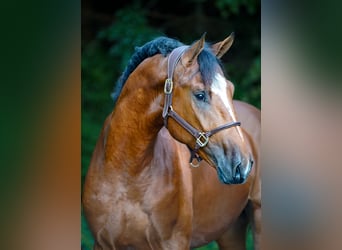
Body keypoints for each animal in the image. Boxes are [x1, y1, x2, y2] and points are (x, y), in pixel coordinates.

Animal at [83, 33, 262, 250]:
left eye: (231, 89)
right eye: (200, 94)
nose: (242, 164)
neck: (126, 171)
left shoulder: (174, 242)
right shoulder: (102, 244)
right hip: (230, 230)